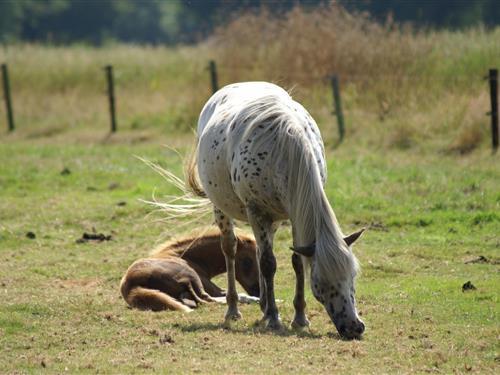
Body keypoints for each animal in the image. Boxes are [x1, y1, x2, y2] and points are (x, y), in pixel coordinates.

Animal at [120, 229, 262, 314]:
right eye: (248, 261)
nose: (258, 291)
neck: (185, 256)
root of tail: (131, 286)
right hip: (192, 276)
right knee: (205, 299)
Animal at [186, 82, 366, 340]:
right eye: (322, 284)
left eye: (352, 276)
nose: (354, 327)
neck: (284, 151)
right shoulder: (257, 211)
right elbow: (269, 263)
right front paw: (273, 317)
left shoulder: (294, 214)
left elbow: (296, 261)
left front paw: (299, 317)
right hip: (223, 209)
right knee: (231, 249)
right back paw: (234, 310)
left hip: (271, 220)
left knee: (260, 250)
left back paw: (262, 306)